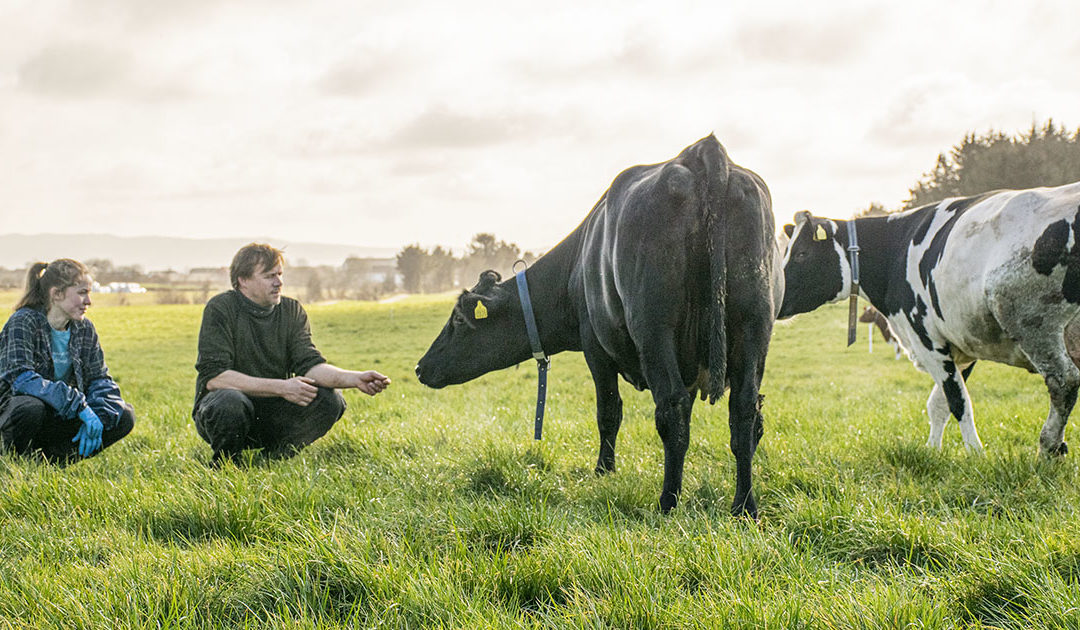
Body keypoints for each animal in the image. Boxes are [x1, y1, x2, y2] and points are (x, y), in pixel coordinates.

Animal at [416, 134, 781, 518]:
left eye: (459, 320)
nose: (420, 367)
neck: (575, 266)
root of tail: (702, 152)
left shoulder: (596, 349)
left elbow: (608, 412)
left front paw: (603, 470)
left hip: (654, 328)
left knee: (672, 408)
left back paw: (667, 502)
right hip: (754, 325)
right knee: (744, 411)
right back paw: (744, 505)